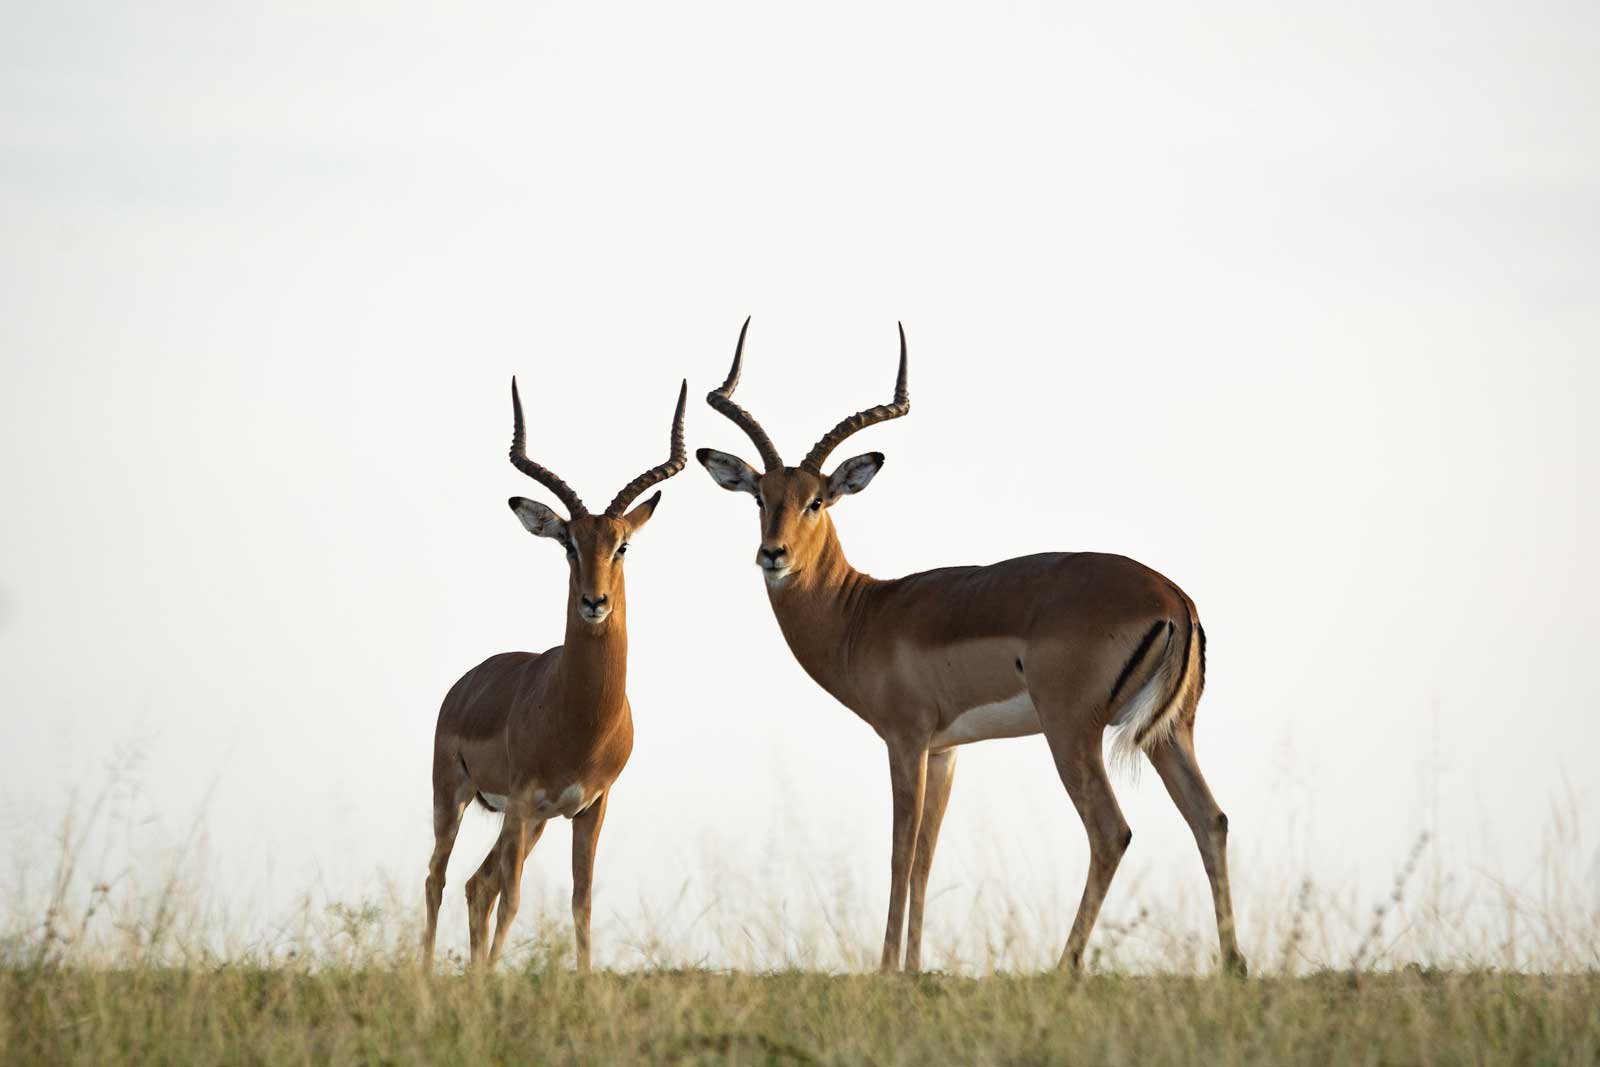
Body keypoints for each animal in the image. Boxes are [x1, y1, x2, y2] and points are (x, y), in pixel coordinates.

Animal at [422, 376, 687, 973]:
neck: (580, 718)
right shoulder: (523, 801)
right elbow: (516, 900)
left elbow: (581, 903)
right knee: (439, 878)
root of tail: (465, 683)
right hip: (456, 795)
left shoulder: (589, 807)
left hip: (532, 821)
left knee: (477, 885)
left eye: (621, 544)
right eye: (569, 543)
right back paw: (422, 973)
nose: (594, 602)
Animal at [695, 319, 1246, 976]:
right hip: (1169, 732)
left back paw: (1064, 966)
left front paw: (887, 969)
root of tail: (1173, 598)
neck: (865, 612)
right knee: (1210, 819)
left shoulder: (905, 740)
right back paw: (1233, 965)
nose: (772, 554)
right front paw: (911, 968)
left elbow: (901, 852)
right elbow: (927, 858)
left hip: (1072, 731)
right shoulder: (946, 751)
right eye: (761, 496)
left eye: (817, 500)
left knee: (1112, 831)